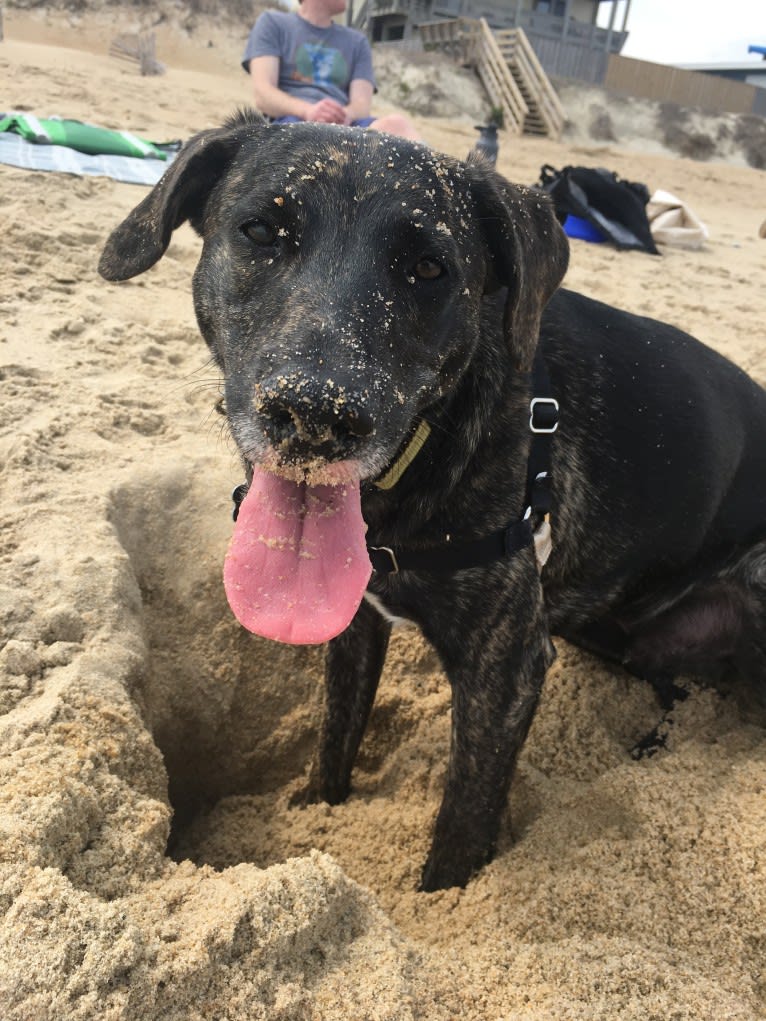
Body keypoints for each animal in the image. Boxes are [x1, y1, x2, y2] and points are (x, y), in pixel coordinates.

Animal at [100, 111, 766, 890]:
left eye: (429, 269)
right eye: (260, 231)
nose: (316, 415)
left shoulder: (505, 667)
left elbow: (463, 819)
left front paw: (440, 892)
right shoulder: (354, 620)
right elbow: (335, 738)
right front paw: (317, 812)